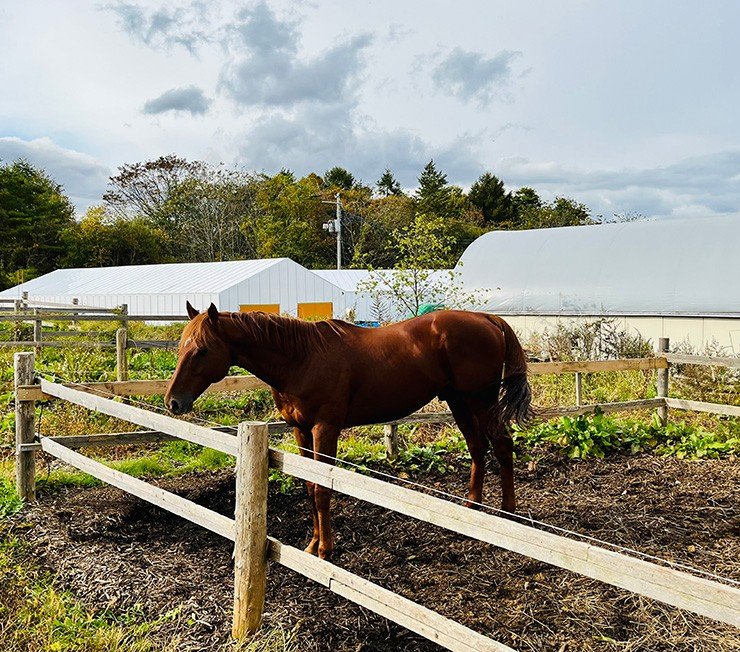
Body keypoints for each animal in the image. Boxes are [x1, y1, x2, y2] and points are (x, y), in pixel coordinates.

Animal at [165, 304, 532, 556]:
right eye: (181, 346)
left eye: (202, 350)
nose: (172, 402)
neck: (300, 359)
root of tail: (486, 318)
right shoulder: (300, 430)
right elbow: (309, 488)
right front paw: (312, 543)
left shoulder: (325, 429)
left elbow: (322, 490)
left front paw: (325, 550)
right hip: (459, 401)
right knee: (478, 447)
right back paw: (472, 511)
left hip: (481, 401)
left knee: (501, 445)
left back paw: (508, 514)